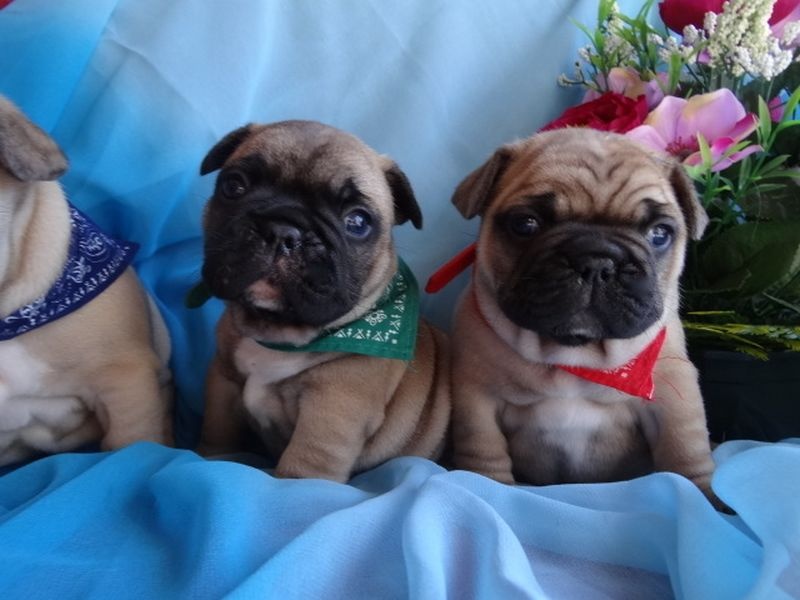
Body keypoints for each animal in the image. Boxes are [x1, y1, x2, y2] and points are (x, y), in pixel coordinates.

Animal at [197, 120, 450, 482]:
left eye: (357, 222)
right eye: (234, 186)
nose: (282, 231)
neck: (277, 335)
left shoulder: (332, 411)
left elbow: (301, 470)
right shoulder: (223, 378)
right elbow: (217, 432)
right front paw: (210, 459)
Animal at [448, 128, 718, 501]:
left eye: (659, 233)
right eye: (525, 224)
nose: (597, 261)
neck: (575, 356)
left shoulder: (673, 397)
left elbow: (685, 451)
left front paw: (703, 496)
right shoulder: (477, 398)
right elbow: (483, 451)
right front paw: (488, 487)